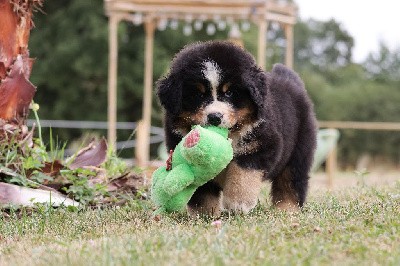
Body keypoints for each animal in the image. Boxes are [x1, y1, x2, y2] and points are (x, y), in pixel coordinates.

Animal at [156, 41, 316, 216]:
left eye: (230, 93)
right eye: (198, 95)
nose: (215, 117)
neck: (230, 137)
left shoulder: (261, 146)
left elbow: (243, 174)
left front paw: (238, 203)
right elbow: (202, 190)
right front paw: (204, 213)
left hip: (299, 150)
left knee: (291, 180)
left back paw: (287, 208)